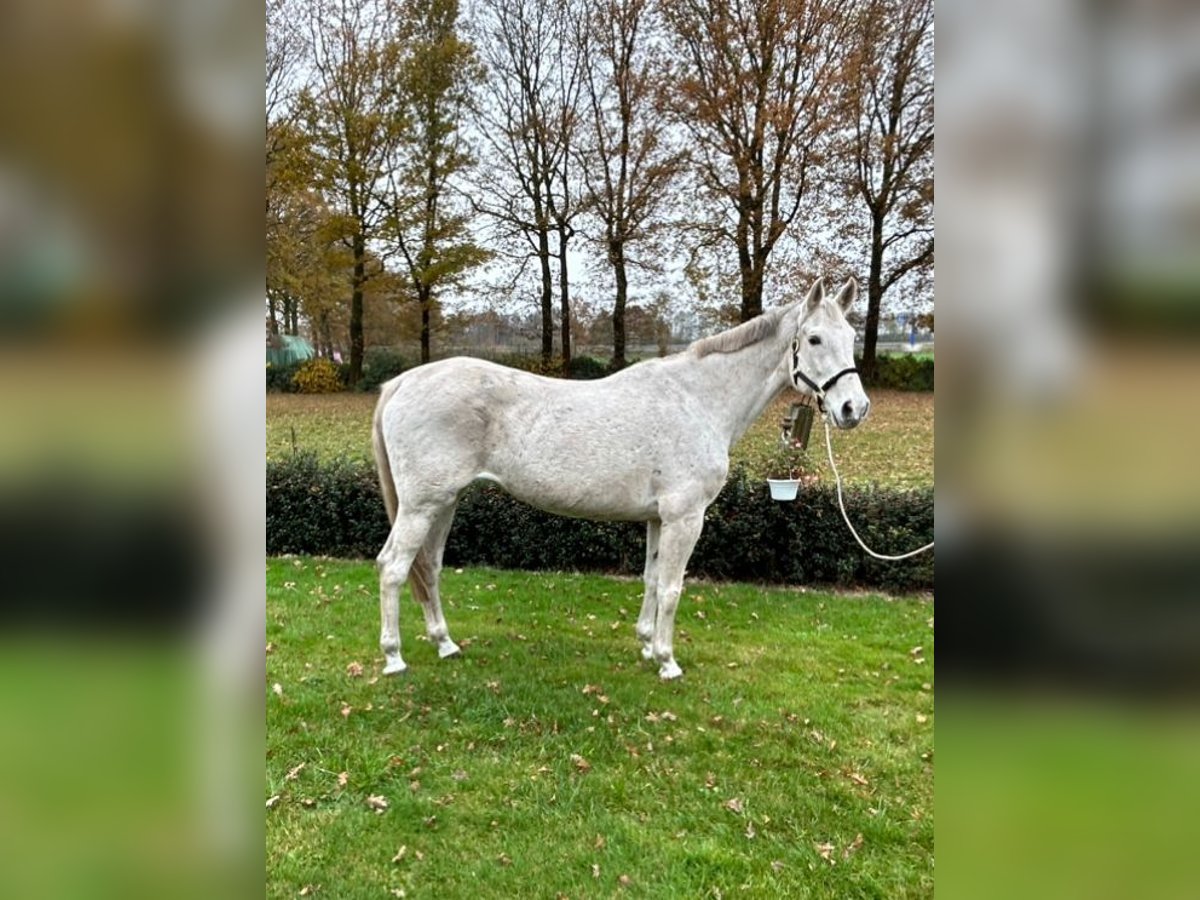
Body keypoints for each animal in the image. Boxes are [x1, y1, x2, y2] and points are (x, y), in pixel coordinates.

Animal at [369, 278, 868, 681]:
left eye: (851, 337)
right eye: (814, 338)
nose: (854, 409)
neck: (698, 399)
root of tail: (403, 382)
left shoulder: (658, 519)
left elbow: (651, 579)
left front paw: (647, 645)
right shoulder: (686, 517)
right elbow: (672, 587)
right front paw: (668, 661)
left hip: (444, 503)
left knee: (429, 567)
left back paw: (445, 644)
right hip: (421, 506)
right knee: (393, 567)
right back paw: (394, 657)